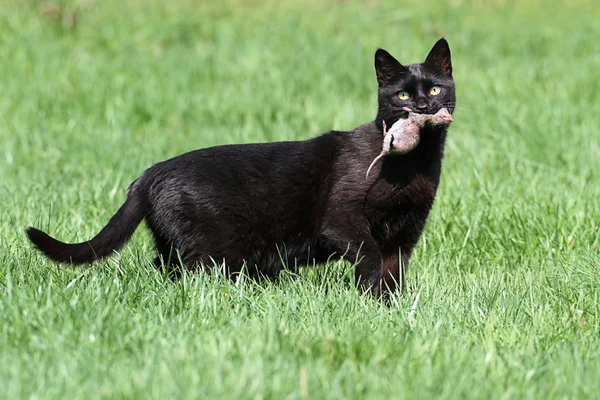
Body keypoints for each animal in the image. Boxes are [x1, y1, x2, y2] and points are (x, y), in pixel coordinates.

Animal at [24, 38, 454, 296]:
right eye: (401, 94)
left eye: (435, 88)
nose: (422, 106)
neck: (414, 165)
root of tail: (148, 175)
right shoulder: (343, 220)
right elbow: (369, 259)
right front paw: (365, 301)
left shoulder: (406, 234)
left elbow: (394, 274)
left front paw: (388, 311)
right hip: (214, 250)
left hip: (178, 246)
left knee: (165, 269)